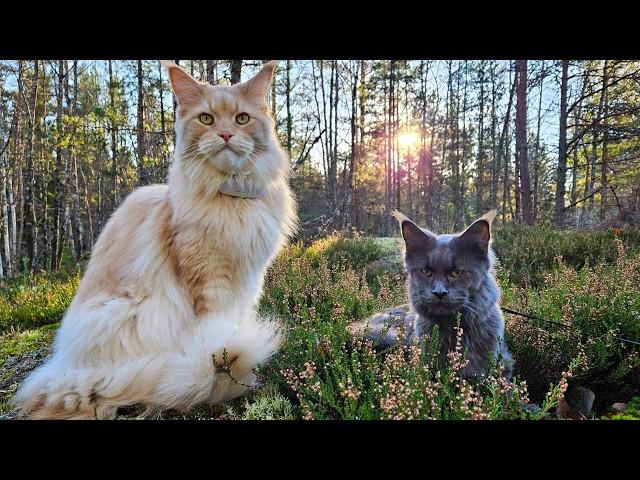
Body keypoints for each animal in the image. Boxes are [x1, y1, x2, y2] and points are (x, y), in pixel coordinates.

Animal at [15, 61, 296, 420]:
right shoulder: (209, 281)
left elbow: (238, 321)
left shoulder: (250, 280)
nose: (225, 135)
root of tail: (67, 366)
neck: (230, 198)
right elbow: (218, 329)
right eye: (207, 119)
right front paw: (224, 364)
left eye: (242, 119)